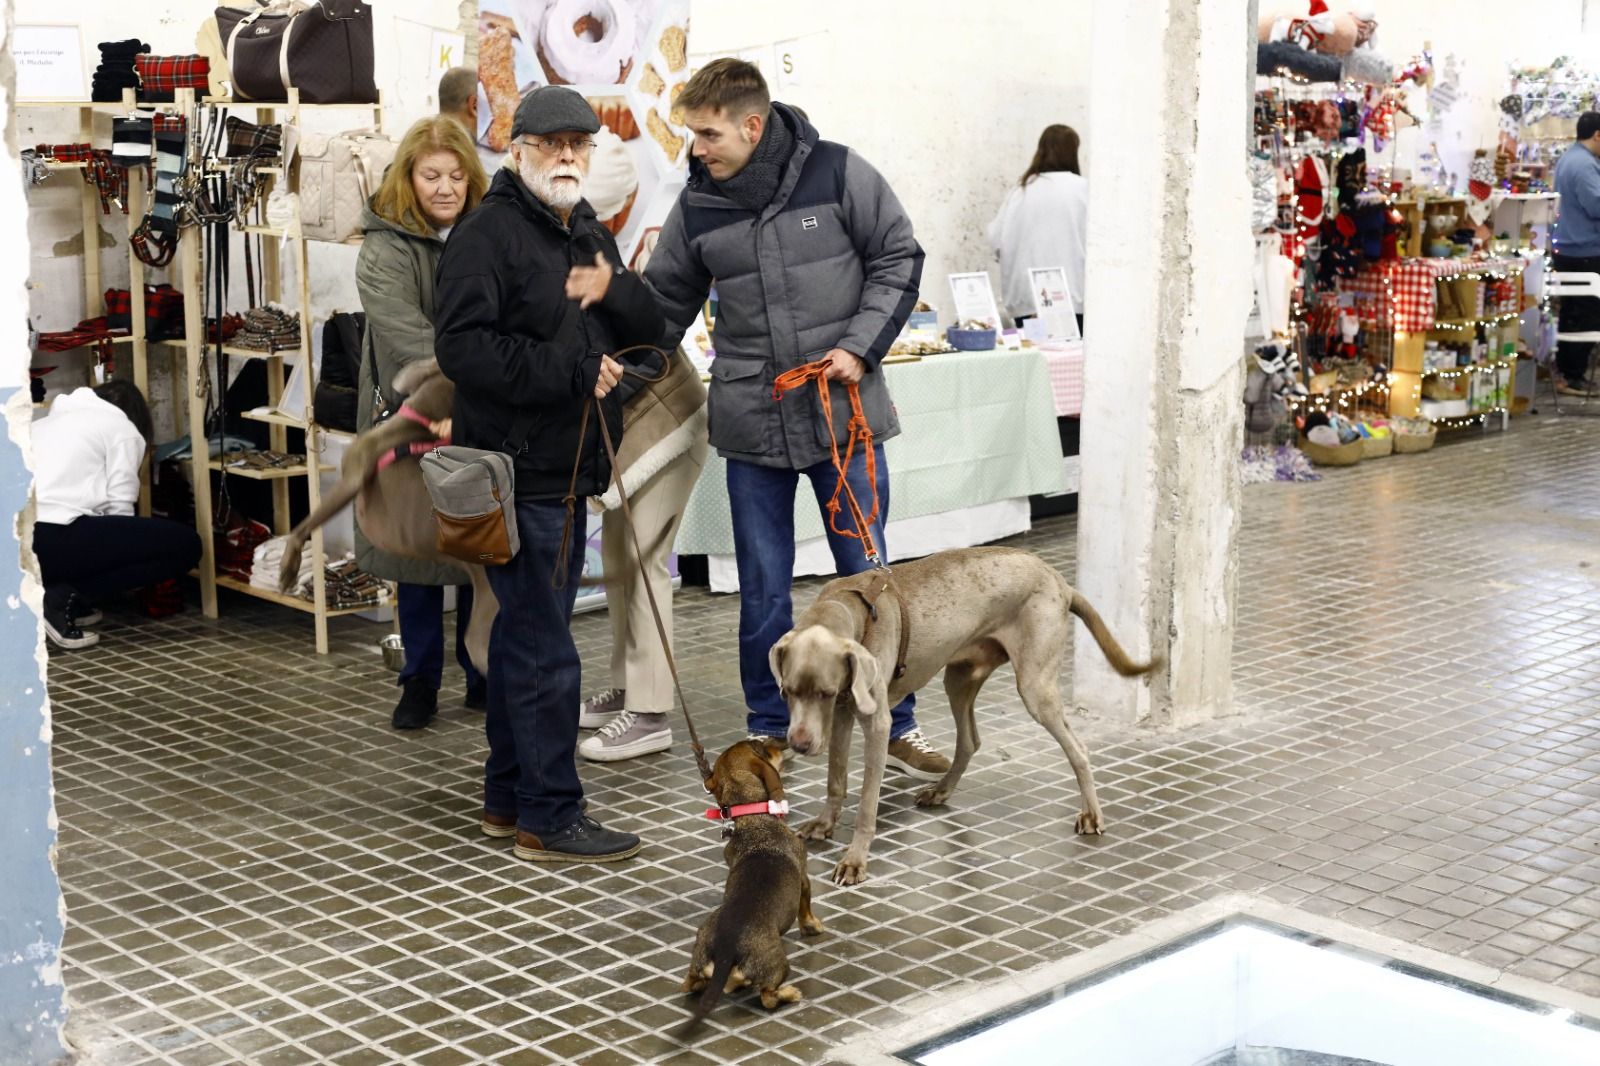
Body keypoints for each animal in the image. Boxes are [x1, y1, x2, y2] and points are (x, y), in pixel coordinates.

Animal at [768, 544, 1158, 883]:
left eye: (824, 692)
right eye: (787, 692)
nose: (799, 744)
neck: (855, 612)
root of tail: (1060, 581)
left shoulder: (875, 722)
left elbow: (867, 802)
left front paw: (854, 860)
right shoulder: (841, 716)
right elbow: (835, 778)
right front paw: (823, 824)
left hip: (1036, 687)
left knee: (1078, 749)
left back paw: (1091, 814)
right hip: (960, 677)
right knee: (970, 740)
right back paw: (941, 790)